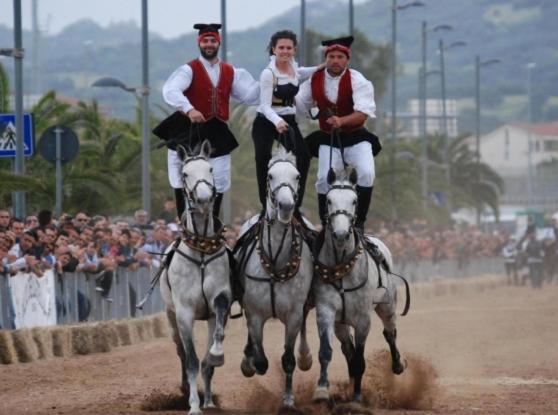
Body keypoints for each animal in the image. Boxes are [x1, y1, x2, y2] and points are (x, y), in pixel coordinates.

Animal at [161, 141, 233, 415]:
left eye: (210, 169)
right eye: (185, 174)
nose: (203, 198)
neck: (200, 251)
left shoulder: (218, 302)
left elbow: (210, 354)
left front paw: (216, 357)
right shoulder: (184, 312)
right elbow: (191, 360)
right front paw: (193, 405)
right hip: (171, 317)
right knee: (181, 351)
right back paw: (184, 388)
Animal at [234, 147, 316, 410]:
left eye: (297, 176)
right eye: (270, 176)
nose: (286, 206)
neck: (276, 259)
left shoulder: (293, 314)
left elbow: (288, 358)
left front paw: (288, 398)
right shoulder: (255, 313)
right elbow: (260, 357)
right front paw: (251, 363)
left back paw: (305, 356)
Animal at [312, 166, 410, 404]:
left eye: (354, 200)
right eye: (328, 200)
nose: (340, 234)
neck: (342, 268)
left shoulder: (363, 318)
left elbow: (360, 358)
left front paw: (357, 398)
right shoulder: (326, 311)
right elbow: (327, 352)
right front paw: (322, 390)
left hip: (387, 306)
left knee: (390, 333)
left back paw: (397, 364)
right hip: (341, 323)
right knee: (347, 348)